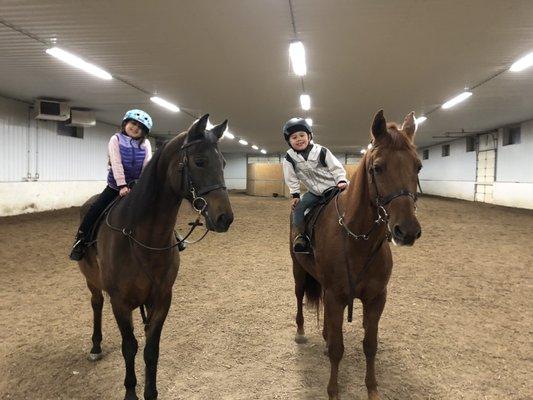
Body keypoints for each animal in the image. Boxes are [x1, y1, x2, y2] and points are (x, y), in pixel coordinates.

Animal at [76, 114, 233, 398]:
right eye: (200, 161)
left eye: (224, 163)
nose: (225, 218)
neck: (143, 238)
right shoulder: (120, 303)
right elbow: (130, 347)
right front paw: (130, 392)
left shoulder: (161, 300)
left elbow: (151, 350)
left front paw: (151, 392)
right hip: (92, 281)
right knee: (96, 304)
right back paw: (95, 347)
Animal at [290, 110, 420, 400]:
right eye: (377, 168)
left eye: (418, 166)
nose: (407, 231)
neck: (358, 239)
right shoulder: (336, 296)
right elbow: (338, 349)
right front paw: (333, 391)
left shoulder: (376, 298)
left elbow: (370, 345)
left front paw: (372, 390)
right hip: (299, 273)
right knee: (300, 298)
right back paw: (301, 333)